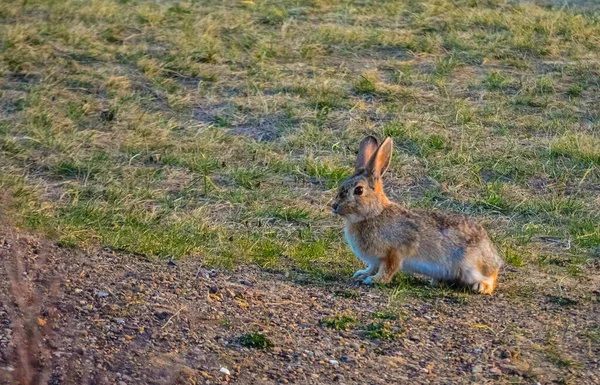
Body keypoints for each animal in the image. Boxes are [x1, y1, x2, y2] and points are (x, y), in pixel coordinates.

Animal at [332, 136, 502, 294]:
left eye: (359, 190)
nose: (334, 206)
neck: (374, 214)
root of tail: (491, 251)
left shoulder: (397, 250)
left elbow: (389, 268)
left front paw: (375, 280)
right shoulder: (375, 260)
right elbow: (372, 267)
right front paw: (362, 274)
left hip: (471, 267)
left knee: (491, 276)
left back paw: (481, 286)